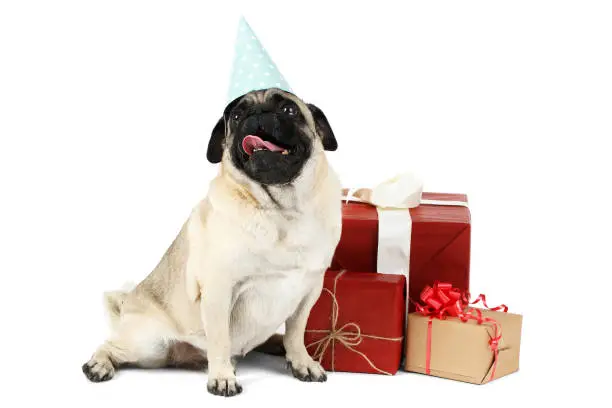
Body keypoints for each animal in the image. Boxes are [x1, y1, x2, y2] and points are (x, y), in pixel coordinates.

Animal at [82, 87, 344, 396]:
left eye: (289, 110)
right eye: (237, 116)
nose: (257, 114)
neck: (282, 211)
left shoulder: (309, 291)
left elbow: (296, 332)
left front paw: (301, 361)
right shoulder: (219, 291)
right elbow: (220, 340)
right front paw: (222, 377)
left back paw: (276, 344)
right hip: (148, 344)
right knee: (110, 346)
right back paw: (98, 364)